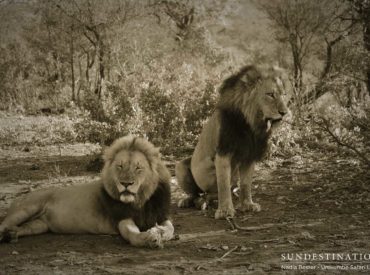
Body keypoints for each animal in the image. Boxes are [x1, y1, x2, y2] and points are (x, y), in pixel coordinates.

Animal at [0, 137, 175, 249]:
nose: (125, 183)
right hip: (26, 209)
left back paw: (11, 234)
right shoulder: (121, 218)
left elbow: (170, 229)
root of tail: (18, 198)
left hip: (39, 225)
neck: (140, 200)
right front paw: (148, 238)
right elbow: (132, 233)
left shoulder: (162, 215)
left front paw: (158, 231)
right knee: (3, 224)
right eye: (119, 166)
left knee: (23, 227)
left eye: (138, 168)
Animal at [176, 64, 290, 220]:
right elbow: (223, 184)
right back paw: (189, 201)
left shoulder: (249, 155)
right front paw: (225, 211)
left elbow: (246, 184)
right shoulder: (223, 152)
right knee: (196, 194)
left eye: (284, 95)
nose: (284, 112)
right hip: (180, 167)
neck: (250, 125)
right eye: (270, 94)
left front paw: (247, 205)